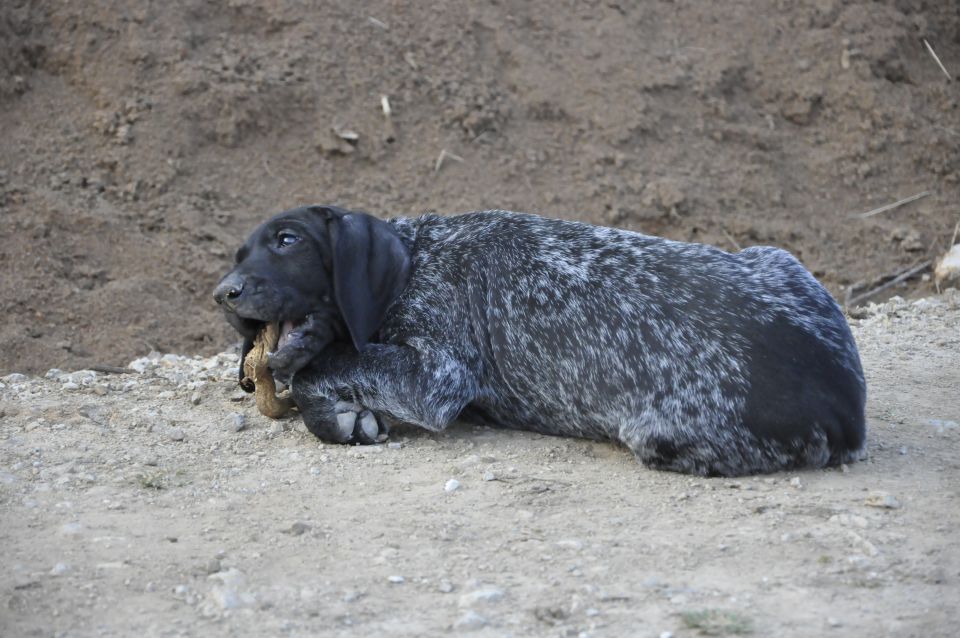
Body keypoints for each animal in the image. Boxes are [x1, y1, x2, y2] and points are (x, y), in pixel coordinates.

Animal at [214, 205, 868, 476]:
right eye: (238, 255)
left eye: (288, 240)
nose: (224, 293)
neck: (416, 258)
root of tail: (847, 405)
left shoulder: (435, 377)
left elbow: (322, 364)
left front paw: (333, 413)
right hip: (778, 259)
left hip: (660, 436)